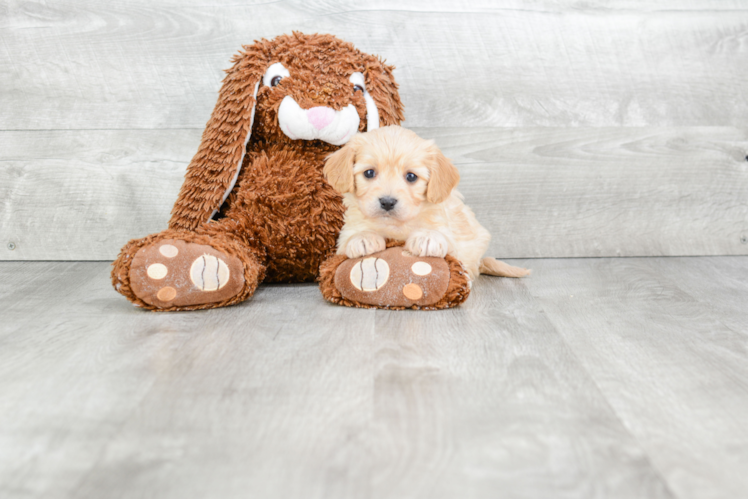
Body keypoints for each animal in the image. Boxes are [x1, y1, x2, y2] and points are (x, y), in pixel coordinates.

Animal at [324, 125, 528, 282]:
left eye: (411, 177)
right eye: (369, 173)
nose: (387, 202)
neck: (395, 226)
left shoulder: (453, 241)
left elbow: (443, 238)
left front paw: (428, 237)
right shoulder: (344, 238)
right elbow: (352, 237)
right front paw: (363, 238)